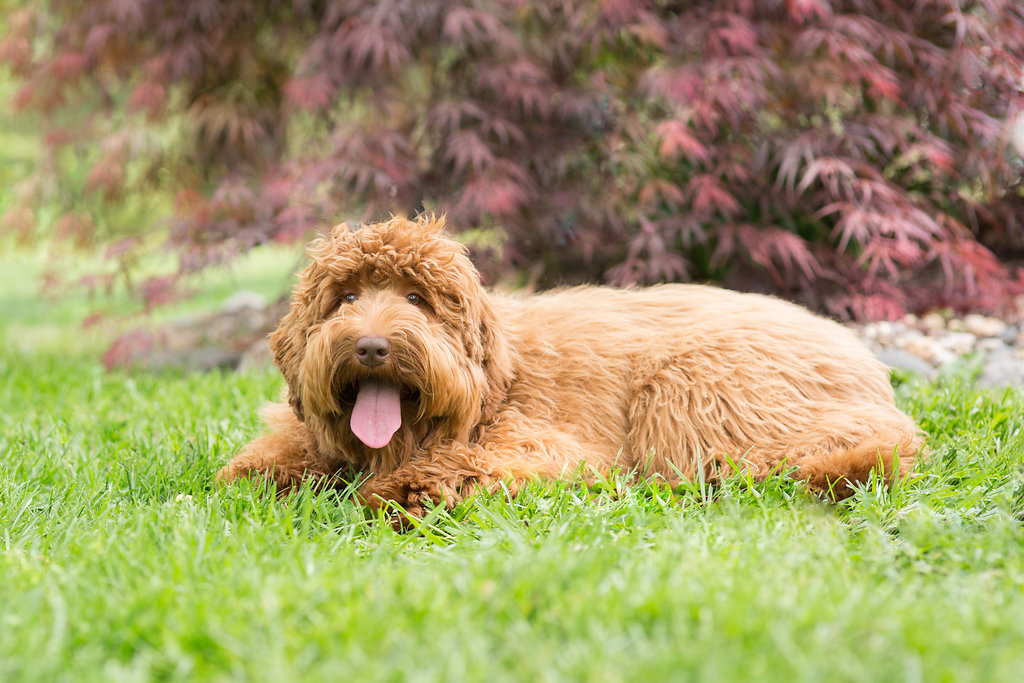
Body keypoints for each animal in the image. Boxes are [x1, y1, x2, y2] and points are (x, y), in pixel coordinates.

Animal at [220, 216, 925, 516]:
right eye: (344, 298)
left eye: (417, 298)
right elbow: (265, 462)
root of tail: (861, 354)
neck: (495, 382)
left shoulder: (544, 444)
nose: (370, 347)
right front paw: (268, 473)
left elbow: (471, 465)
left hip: (693, 389)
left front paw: (404, 492)